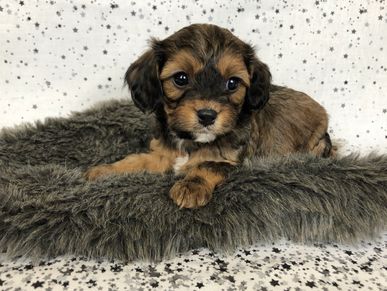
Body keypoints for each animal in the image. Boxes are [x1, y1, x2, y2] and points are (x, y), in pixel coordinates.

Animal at [85, 24, 334, 209]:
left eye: (232, 83)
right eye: (181, 78)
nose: (207, 115)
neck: (191, 142)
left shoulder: (234, 162)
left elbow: (207, 165)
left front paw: (190, 187)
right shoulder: (164, 154)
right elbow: (137, 160)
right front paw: (105, 171)